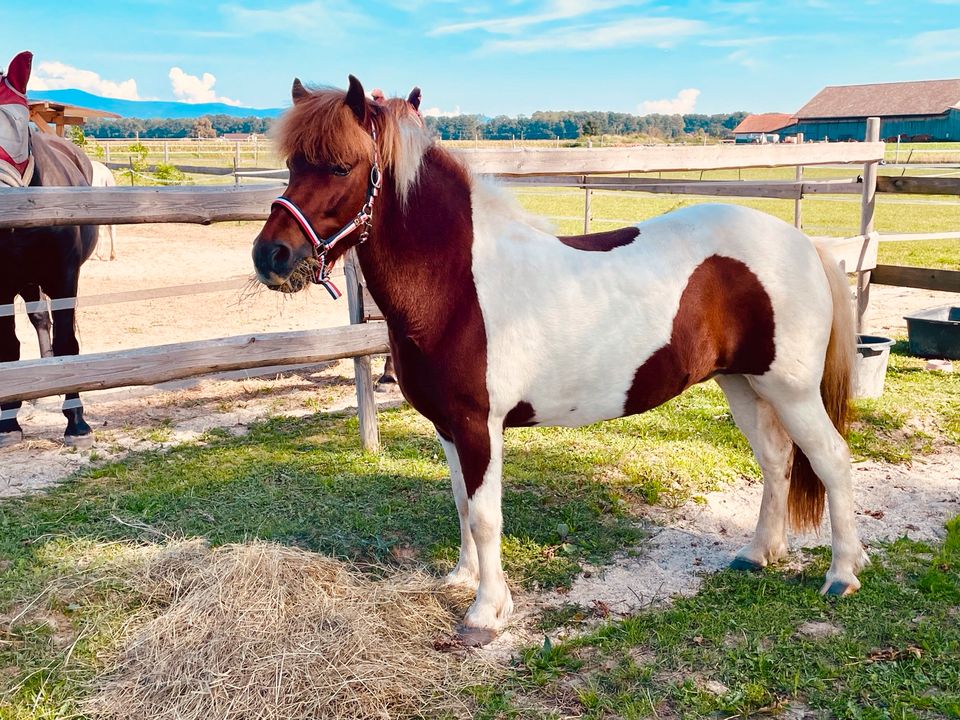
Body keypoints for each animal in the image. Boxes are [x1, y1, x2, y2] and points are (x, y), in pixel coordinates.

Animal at [251, 77, 868, 640]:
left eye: (340, 167)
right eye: (292, 163)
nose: (270, 255)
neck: (456, 284)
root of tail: (802, 242)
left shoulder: (478, 426)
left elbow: (484, 515)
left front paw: (485, 613)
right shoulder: (449, 427)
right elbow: (461, 505)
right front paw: (461, 580)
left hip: (791, 390)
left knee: (832, 460)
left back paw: (841, 575)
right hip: (741, 382)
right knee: (776, 459)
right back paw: (760, 553)